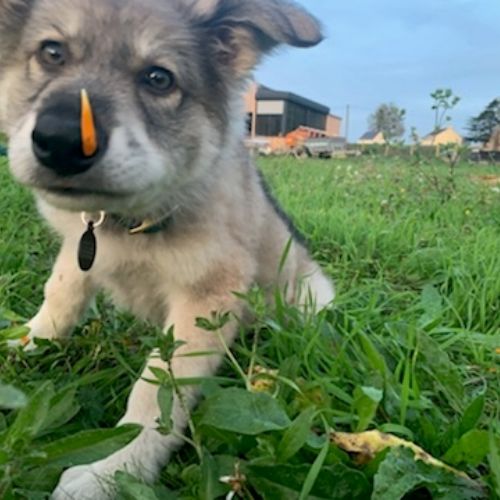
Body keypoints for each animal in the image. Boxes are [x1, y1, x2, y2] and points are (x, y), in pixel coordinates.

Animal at [0, 0, 334, 497]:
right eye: (52, 52)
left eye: (158, 78)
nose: (60, 141)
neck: (129, 222)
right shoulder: (81, 246)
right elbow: (61, 290)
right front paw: (30, 338)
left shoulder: (207, 299)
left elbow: (157, 394)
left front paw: (114, 471)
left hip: (310, 298)